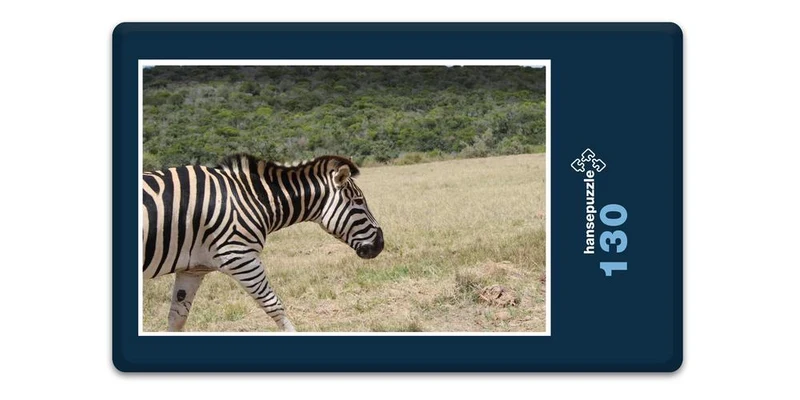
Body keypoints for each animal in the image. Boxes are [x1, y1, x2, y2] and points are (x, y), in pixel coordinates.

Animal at [142, 154, 384, 332]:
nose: (381, 243)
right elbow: (274, 305)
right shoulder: (240, 257)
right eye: (359, 202)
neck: (252, 199)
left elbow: (177, 318)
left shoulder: (193, 269)